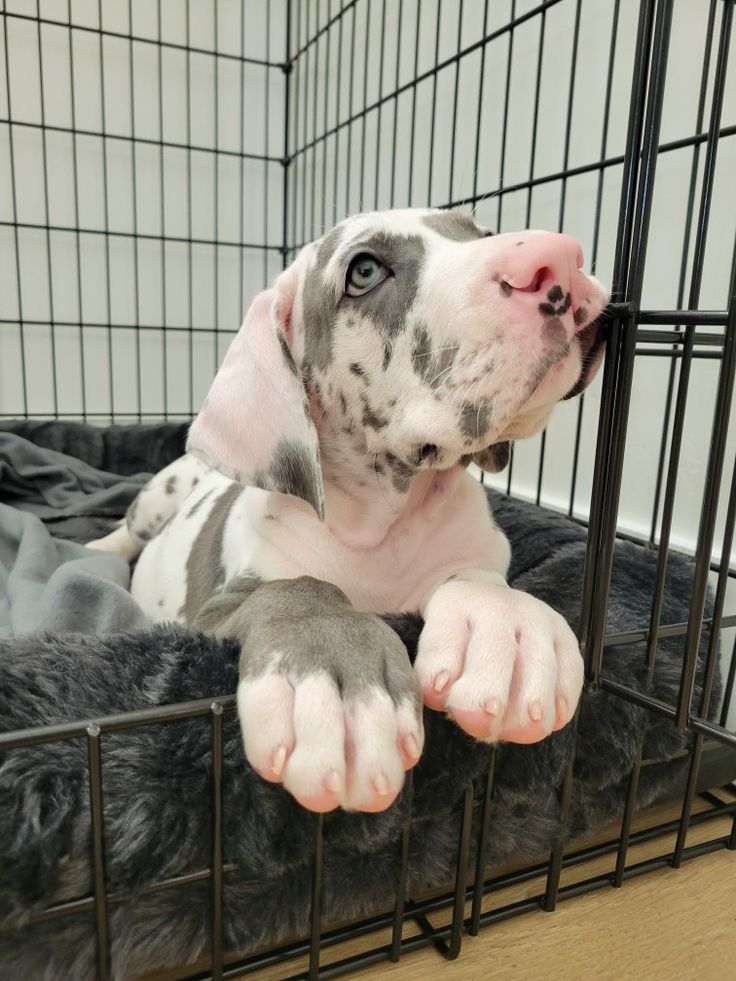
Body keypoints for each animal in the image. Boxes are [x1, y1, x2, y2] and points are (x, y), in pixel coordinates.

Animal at [89, 207, 608, 812]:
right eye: (364, 270)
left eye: (479, 232)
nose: (561, 257)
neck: (383, 520)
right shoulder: (209, 614)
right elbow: (295, 588)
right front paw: (334, 669)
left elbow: (480, 579)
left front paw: (508, 626)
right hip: (163, 489)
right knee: (126, 531)